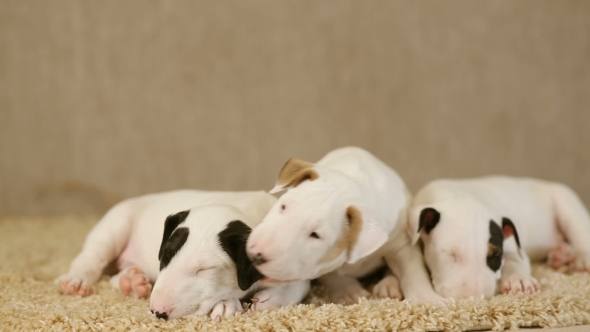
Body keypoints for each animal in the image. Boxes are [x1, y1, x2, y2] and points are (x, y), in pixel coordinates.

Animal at [57, 191, 312, 320]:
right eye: (165, 256)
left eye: (204, 269)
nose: (158, 312)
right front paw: (226, 304)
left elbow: (301, 283)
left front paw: (272, 298)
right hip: (115, 225)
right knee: (91, 257)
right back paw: (77, 280)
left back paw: (132, 282)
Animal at [245, 147, 444, 304]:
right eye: (283, 206)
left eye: (315, 235)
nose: (255, 256)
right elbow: (332, 274)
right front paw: (349, 292)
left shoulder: (402, 241)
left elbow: (413, 271)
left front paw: (429, 300)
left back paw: (388, 285)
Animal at [410, 175, 590, 300]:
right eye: (451, 254)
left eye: (495, 256)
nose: (475, 297)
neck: (458, 195)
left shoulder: (514, 247)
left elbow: (515, 260)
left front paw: (519, 280)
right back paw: (561, 255)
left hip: (567, 204)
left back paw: (581, 260)